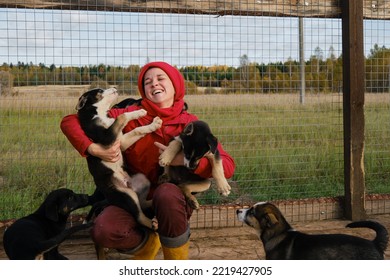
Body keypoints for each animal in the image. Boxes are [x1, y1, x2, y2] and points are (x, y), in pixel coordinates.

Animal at [76, 87, 161, 230]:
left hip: (143, 180)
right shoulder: (107, 137)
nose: (115, 87)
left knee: (142, 204)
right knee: (139, 216)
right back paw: (153, 224)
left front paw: (146, 118)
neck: (99, 113)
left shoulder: (121, 141)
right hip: (125, 195)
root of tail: (129, 185)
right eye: (100, 91)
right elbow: (122, 116)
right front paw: (139, 112)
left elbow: (137, 129)